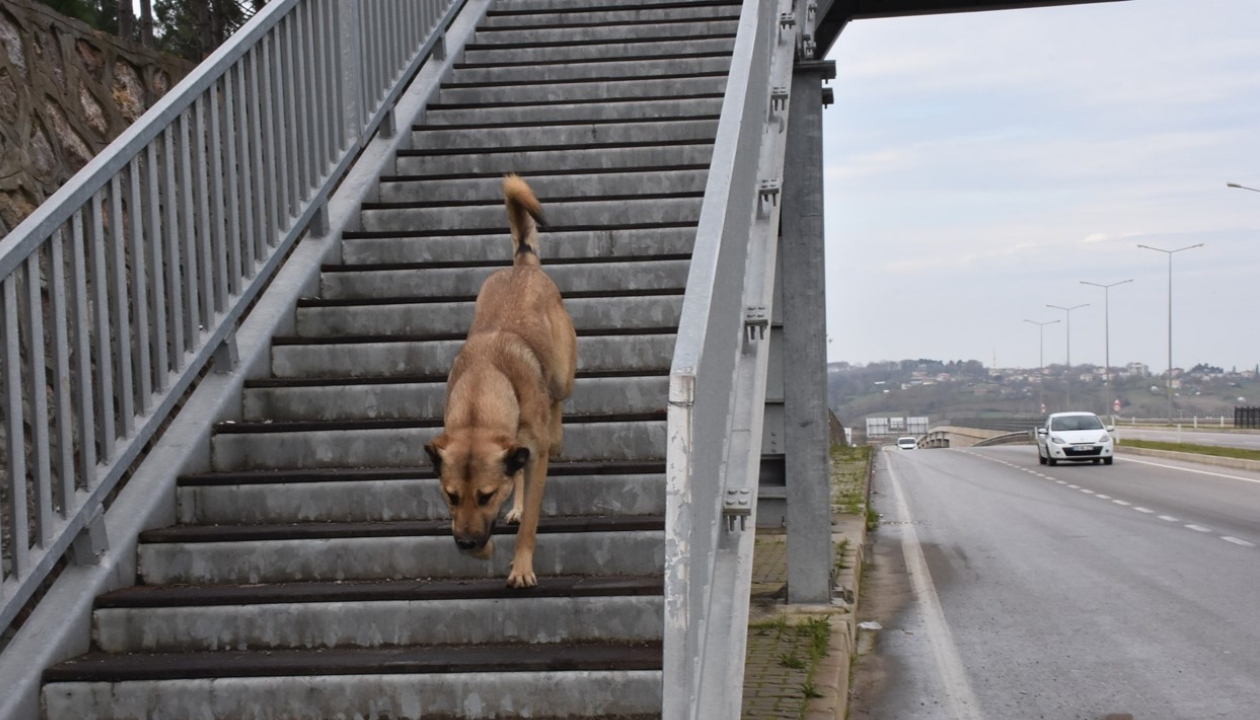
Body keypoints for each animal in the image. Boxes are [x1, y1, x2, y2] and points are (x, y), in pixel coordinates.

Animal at [425, 176, 577, 592]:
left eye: (486, 495)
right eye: (451, 496)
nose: (465, 543)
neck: (482, 392)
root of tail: (522, 265)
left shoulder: (535, 457)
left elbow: (530, 525)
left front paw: (521, 567)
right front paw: (486, 549)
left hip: (562, 374)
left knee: (558, 400)